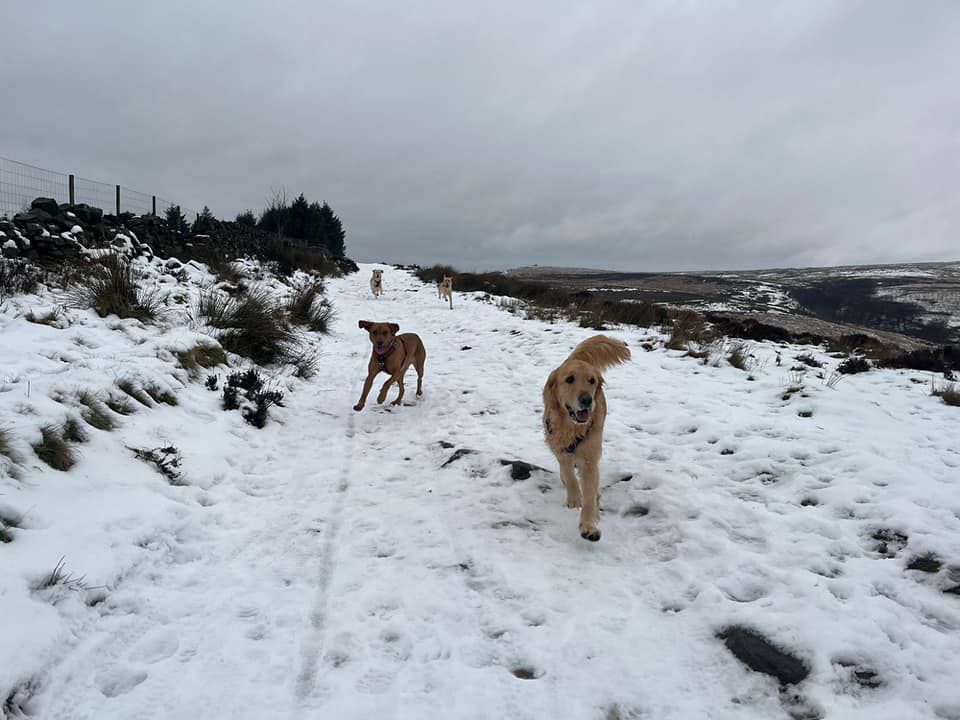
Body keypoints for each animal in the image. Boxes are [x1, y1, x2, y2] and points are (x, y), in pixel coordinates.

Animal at [542, 335, 630, 541]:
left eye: (591, 380)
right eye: (569, 379)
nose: (586, 400)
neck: (572, 427)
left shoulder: (590, 457)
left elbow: (590, 494)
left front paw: (589, 526)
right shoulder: (560, 448)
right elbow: (569, 475)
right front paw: (574, 498)